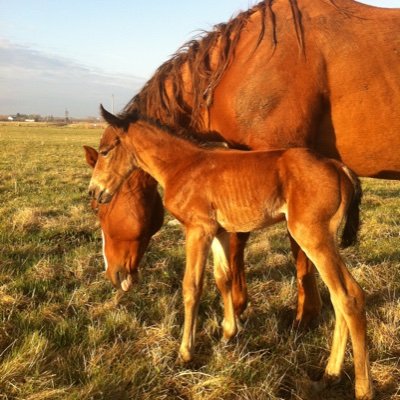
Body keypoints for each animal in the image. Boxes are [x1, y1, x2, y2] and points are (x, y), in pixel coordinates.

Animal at [89, 108, 374, 398]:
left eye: (105, 151)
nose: (94, 191)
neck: (183, 165)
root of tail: (339, 167)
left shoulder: (198, 230)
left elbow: (191, 287)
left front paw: (185, 353)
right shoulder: (220, 232)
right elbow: (223, 278)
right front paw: (228, 332)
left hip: (312, 236)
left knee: (349, 296)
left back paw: (362, 388)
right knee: (338, 298)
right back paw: (330, 374)